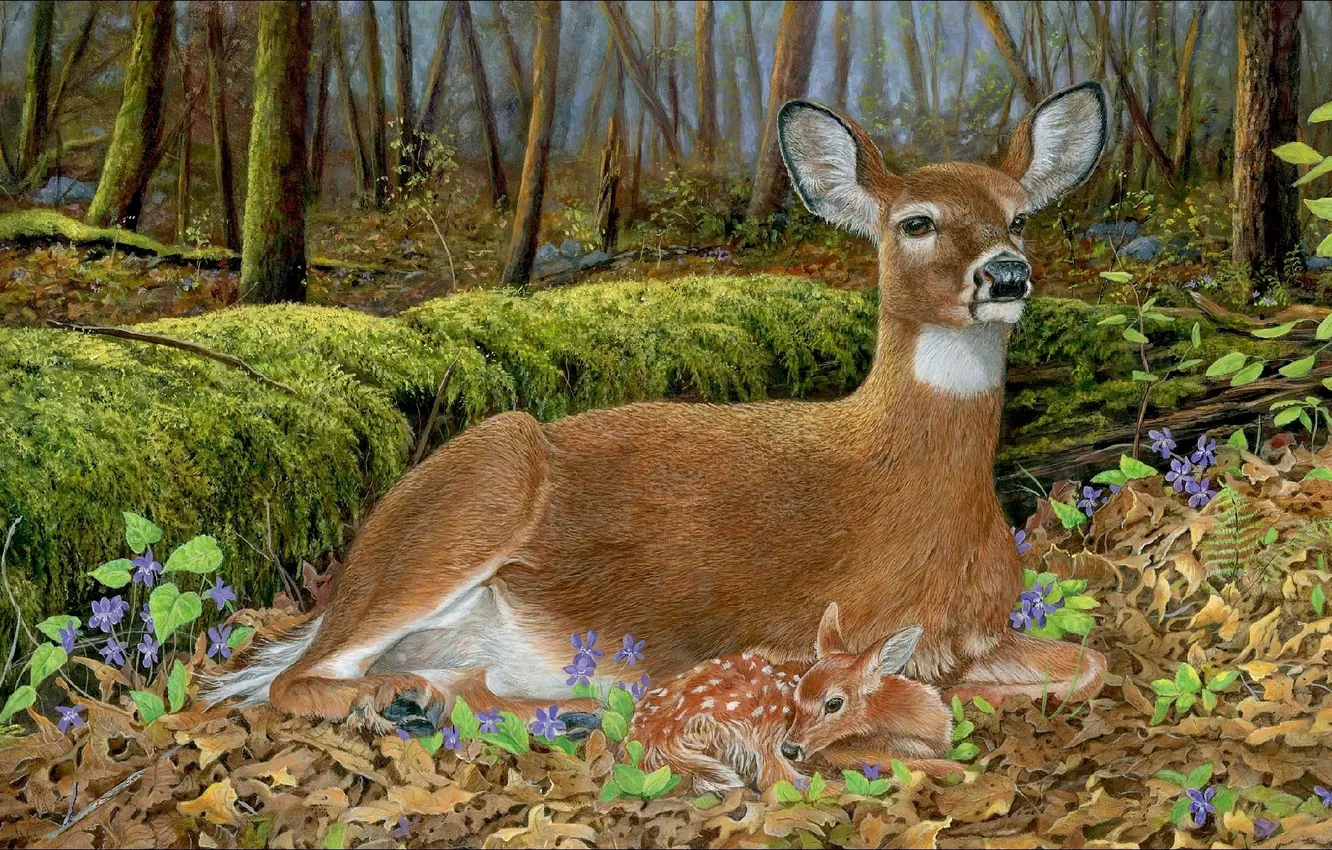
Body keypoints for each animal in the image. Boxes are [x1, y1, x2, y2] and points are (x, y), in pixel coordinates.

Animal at [206, 82, 1111, 737]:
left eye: (1020, 218)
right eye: (916, 222)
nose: (1006, 273)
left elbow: (1088, 665)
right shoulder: (803, 632)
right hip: (477, 486)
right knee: (293, 678)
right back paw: (422, 703)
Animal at [630, 603, 954, 793]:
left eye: (833, 703)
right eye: (795, 698)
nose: (791, 748)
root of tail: (651, 738)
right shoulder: (838, 750)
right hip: (758, 714)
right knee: (777, 779)